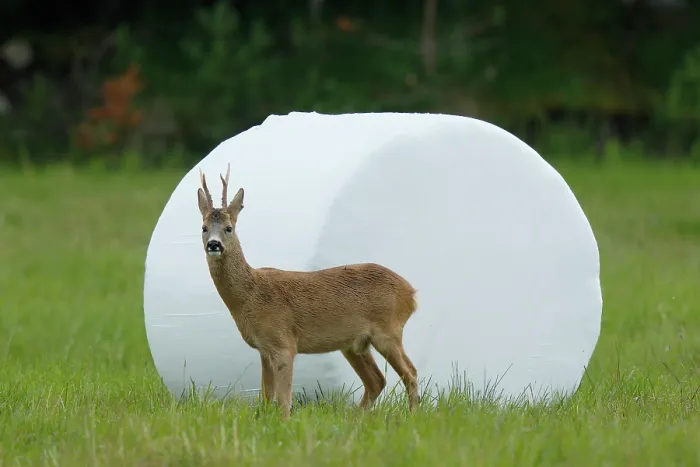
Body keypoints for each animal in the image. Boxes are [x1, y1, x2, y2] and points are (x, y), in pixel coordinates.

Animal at [196, 163, 421, 420]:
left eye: (229, 228)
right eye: (203, 228)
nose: (214, 244)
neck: (250, 296)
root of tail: (410, 293)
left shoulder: (283, 342)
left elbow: (284, 400)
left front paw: (283, 423)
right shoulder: (264, 349)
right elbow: (266, 397)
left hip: (388, 330)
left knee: (410, 373)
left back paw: (412, 416)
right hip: (355, 344)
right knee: (377, 380)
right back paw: (354, 419)